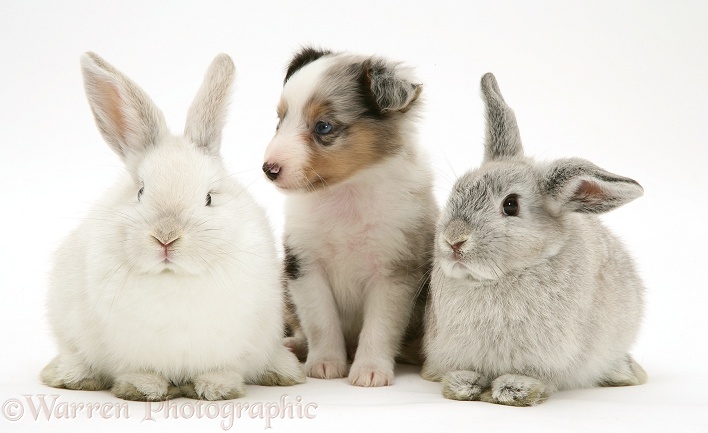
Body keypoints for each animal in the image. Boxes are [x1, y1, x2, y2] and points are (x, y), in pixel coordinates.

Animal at [39, 52, 304, 400]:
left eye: (209, 197)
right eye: (140, 191)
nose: (166, 237)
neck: (174, 278)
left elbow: (219, 370)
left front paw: (216, 388)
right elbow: (140, 371)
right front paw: (143, 388)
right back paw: (70, 375)